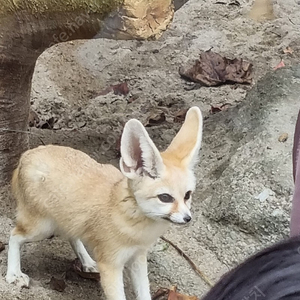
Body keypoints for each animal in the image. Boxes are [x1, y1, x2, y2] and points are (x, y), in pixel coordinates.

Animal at [5, 106, 203, 298]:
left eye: (187, 195)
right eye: (165, 197)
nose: (187, 218)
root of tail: (28, 153)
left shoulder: (138, 257)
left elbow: (144, 293)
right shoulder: (111, 265)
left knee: (72, 235)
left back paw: (86, 261)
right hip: (42, 228)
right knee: (14, 235)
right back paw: (13, 273)